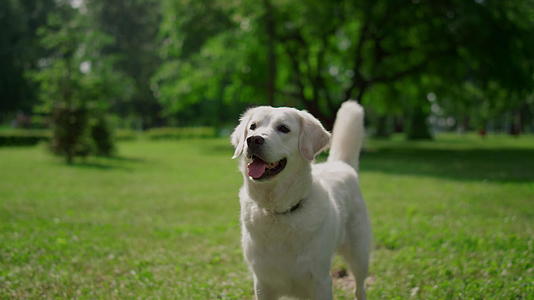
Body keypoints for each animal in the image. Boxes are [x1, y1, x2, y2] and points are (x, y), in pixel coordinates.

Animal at [230, 101, 372, 300]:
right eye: (253, 127)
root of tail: (341, 164)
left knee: (360, 288)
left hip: (359, 255)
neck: (279, 211)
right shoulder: (262, 283)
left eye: (283, 128)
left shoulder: (321, 282)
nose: (253, 140)